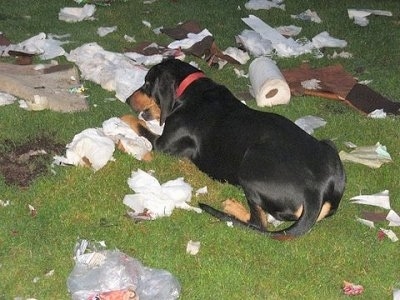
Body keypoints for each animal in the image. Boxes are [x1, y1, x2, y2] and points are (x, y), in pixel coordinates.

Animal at [126, 59, 346, 240]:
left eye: (147, 84)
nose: (128, 100)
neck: (189, 90)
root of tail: (315, 191)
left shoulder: (162, 144)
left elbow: (137, 124)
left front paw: (122, 119)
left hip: (249, 168)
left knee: (258, 222)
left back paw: (232, 206)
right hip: (329, 146)